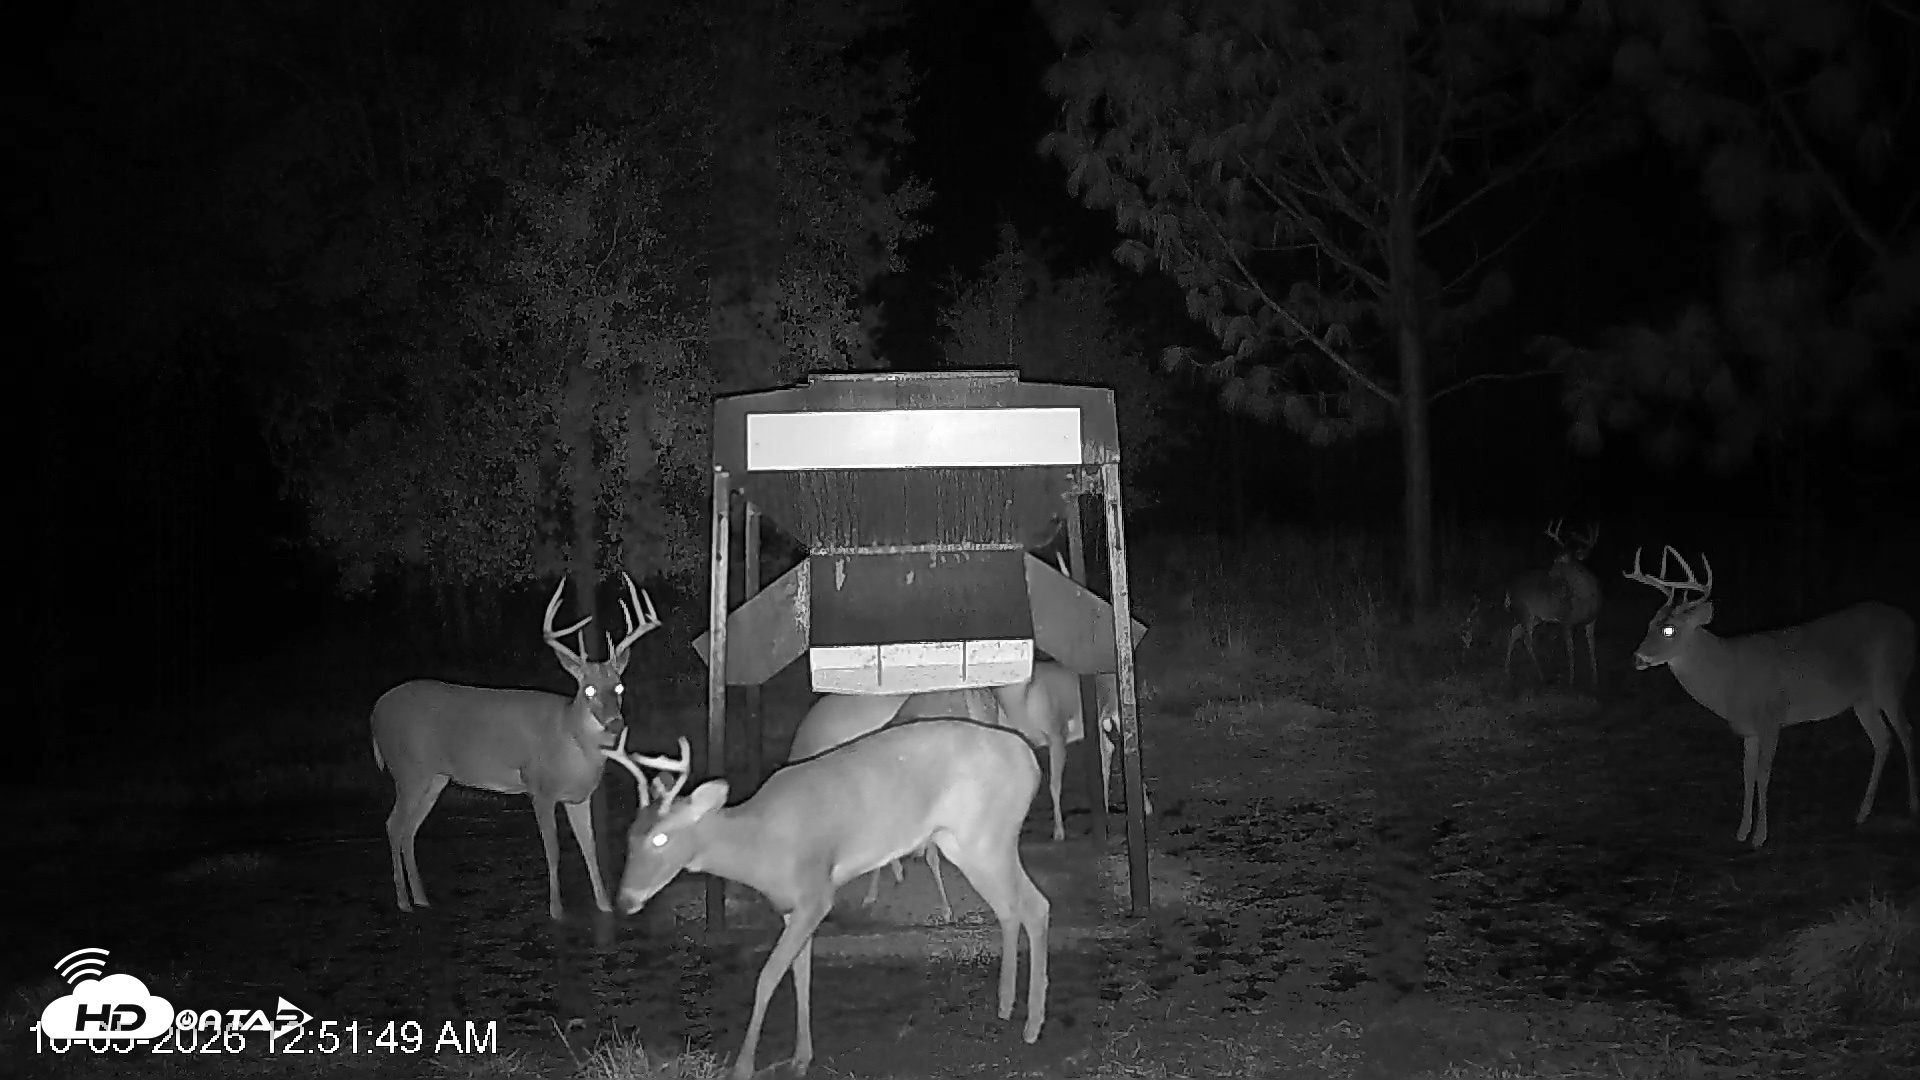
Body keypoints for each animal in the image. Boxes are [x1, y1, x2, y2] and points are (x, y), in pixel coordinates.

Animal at [370, 573, 661, 919]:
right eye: (588, 689)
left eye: (619, 687)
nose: (615, 723)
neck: (571, 742)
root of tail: (374, 713)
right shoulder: (539, 788)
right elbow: (553, 849)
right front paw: (556, 910)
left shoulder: (579, 796)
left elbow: (590, 848)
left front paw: (604, 905)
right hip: (407, 769)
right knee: (393, 824)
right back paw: (403, 901)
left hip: (434, 778)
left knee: (409, 829)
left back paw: (421, 898)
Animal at [603, 721, 1050, 1080]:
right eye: (629, 835)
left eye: (661, 838)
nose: (624, 901)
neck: (759, 845)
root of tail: (1031, 761)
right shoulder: (792, 908)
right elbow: (800, 975)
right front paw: (801, 1058)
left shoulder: (816, 894)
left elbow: (768, 976)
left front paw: (744, 1066)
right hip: (962, 843)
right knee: (1011, 908)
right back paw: (1006, 1006)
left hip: (988, 837)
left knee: (1036, 906)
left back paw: (1032, 1026)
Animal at [1504, 519, 1604, 687]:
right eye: (1555, 558)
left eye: (1559, 560)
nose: (1549, 572)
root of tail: (1510, 587)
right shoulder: (1565, 620)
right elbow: (1571, 650)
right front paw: (1571, 680)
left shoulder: (1592, 620)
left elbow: (1592, 648)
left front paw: (1595, 680)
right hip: (1525, 609)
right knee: (1526, 639)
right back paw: (1541, 676)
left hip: (1536, 616)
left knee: (1515, 631)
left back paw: (1507, 670)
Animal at [1623, 545, 1917, 849]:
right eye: (1650, 624)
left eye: (1669, 630)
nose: (1637, 658)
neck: (1728, 676)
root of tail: (1909, 623)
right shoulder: (1748, 730)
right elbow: (1747, 774)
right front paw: (1742, 831)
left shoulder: (1771, 718)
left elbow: (1763, 775)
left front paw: (1760, 836)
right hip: (1863, 699)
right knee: (1883, 740)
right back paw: (1862, 813)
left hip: (1890, 681)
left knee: (1906, 732)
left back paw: (1912, 805)